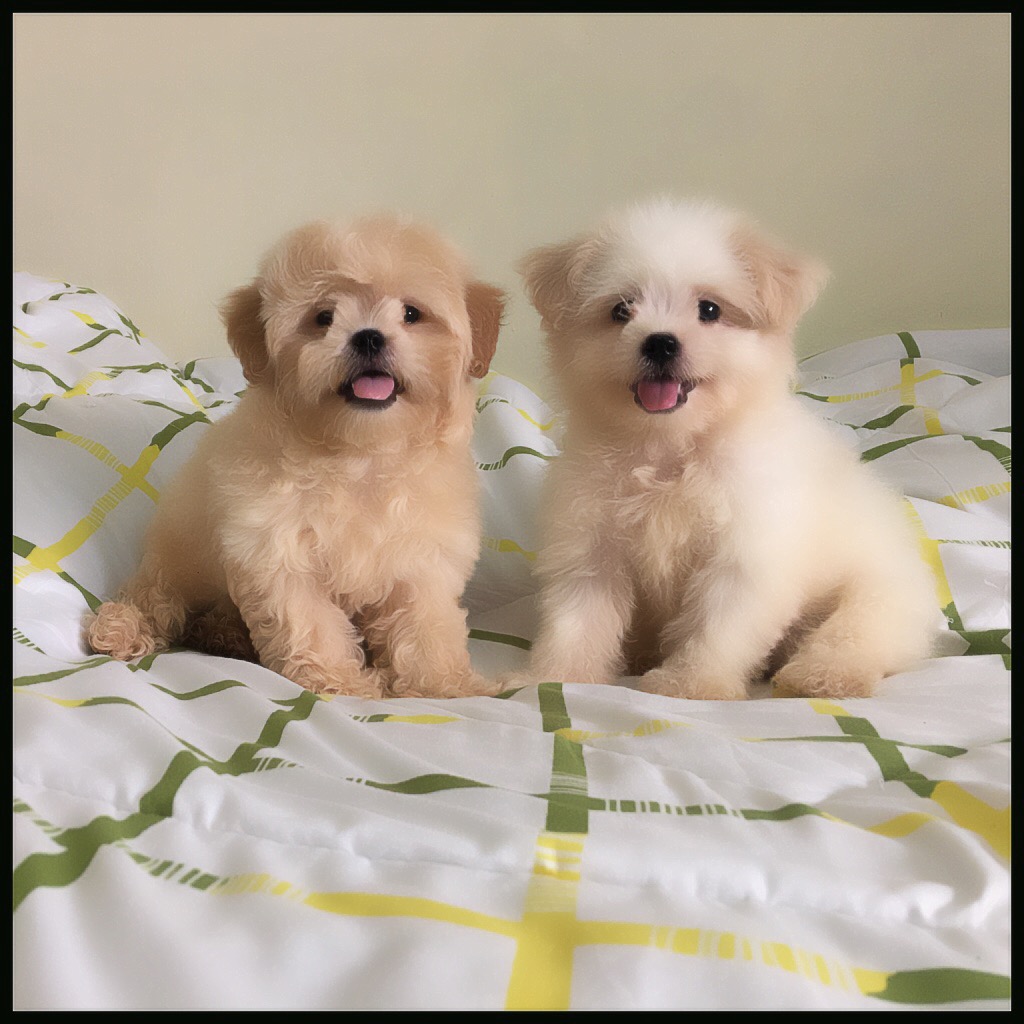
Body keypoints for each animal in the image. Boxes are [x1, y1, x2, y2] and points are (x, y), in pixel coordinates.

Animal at [88, 214, 505, 699]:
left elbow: (425, 624)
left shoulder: (423, 556)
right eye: (323, 318)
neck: (359, 454)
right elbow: (310, 621)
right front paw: (340, 682)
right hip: (180, 551)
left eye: (411, 314)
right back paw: (124, 627)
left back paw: (223, 634)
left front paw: (443, 684)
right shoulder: (275, 548)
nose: (368, 337)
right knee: (157, 594)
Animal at [514, 197, 937, 700]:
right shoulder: (590, 546)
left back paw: (823, 675)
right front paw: (552, 677)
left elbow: (717, 627)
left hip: (877, 595)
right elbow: (576, 622)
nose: (660, 342)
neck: (669, 449)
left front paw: (690, 684)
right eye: (621, 310)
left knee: (855, 634)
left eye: (710, 309)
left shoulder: (744, 553)